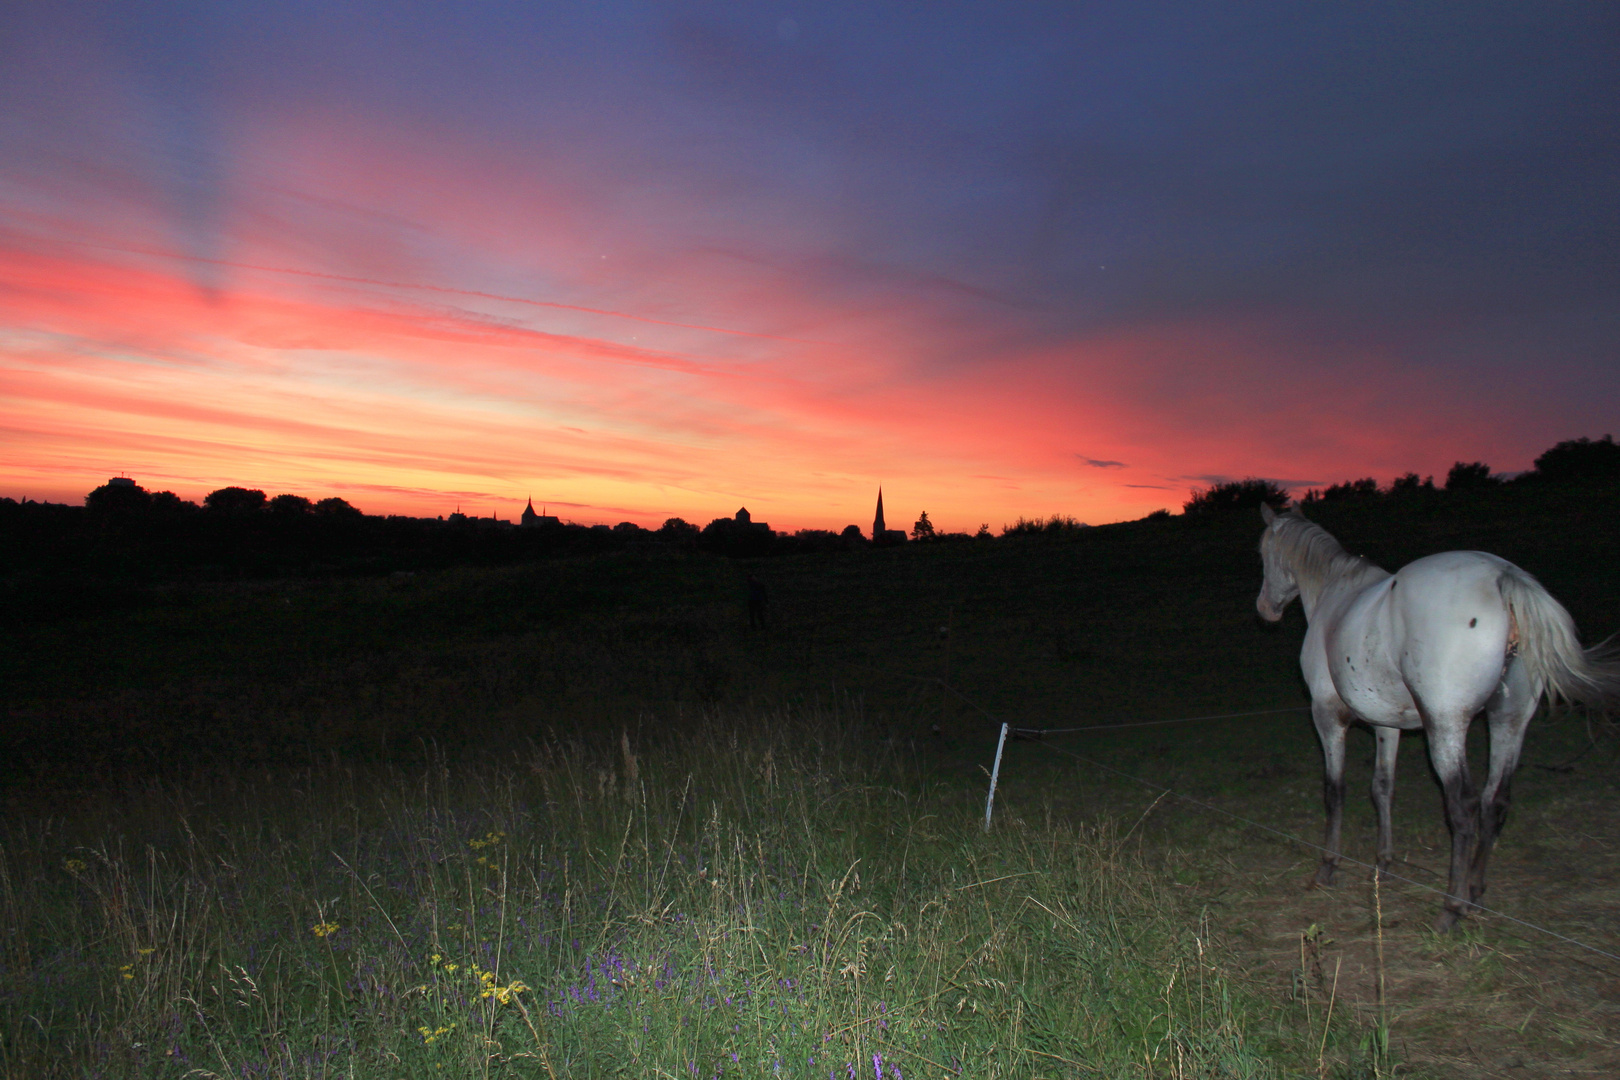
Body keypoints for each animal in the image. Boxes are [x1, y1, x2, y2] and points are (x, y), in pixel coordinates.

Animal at [1257, 501, 1613, 932]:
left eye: (1263, 553)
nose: (1265, 609)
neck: (1335, 595)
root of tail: (1503, 577)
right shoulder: (1386, 725)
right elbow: (1382, 789)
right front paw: (1383, 864)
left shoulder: (1327, 717)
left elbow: (1335, 791)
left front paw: (1328, 866)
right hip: (1508, 721)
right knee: (1495, 801)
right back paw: (1475, 893)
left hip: (1446, 725)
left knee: (1464, 806)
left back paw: (1452, 908)